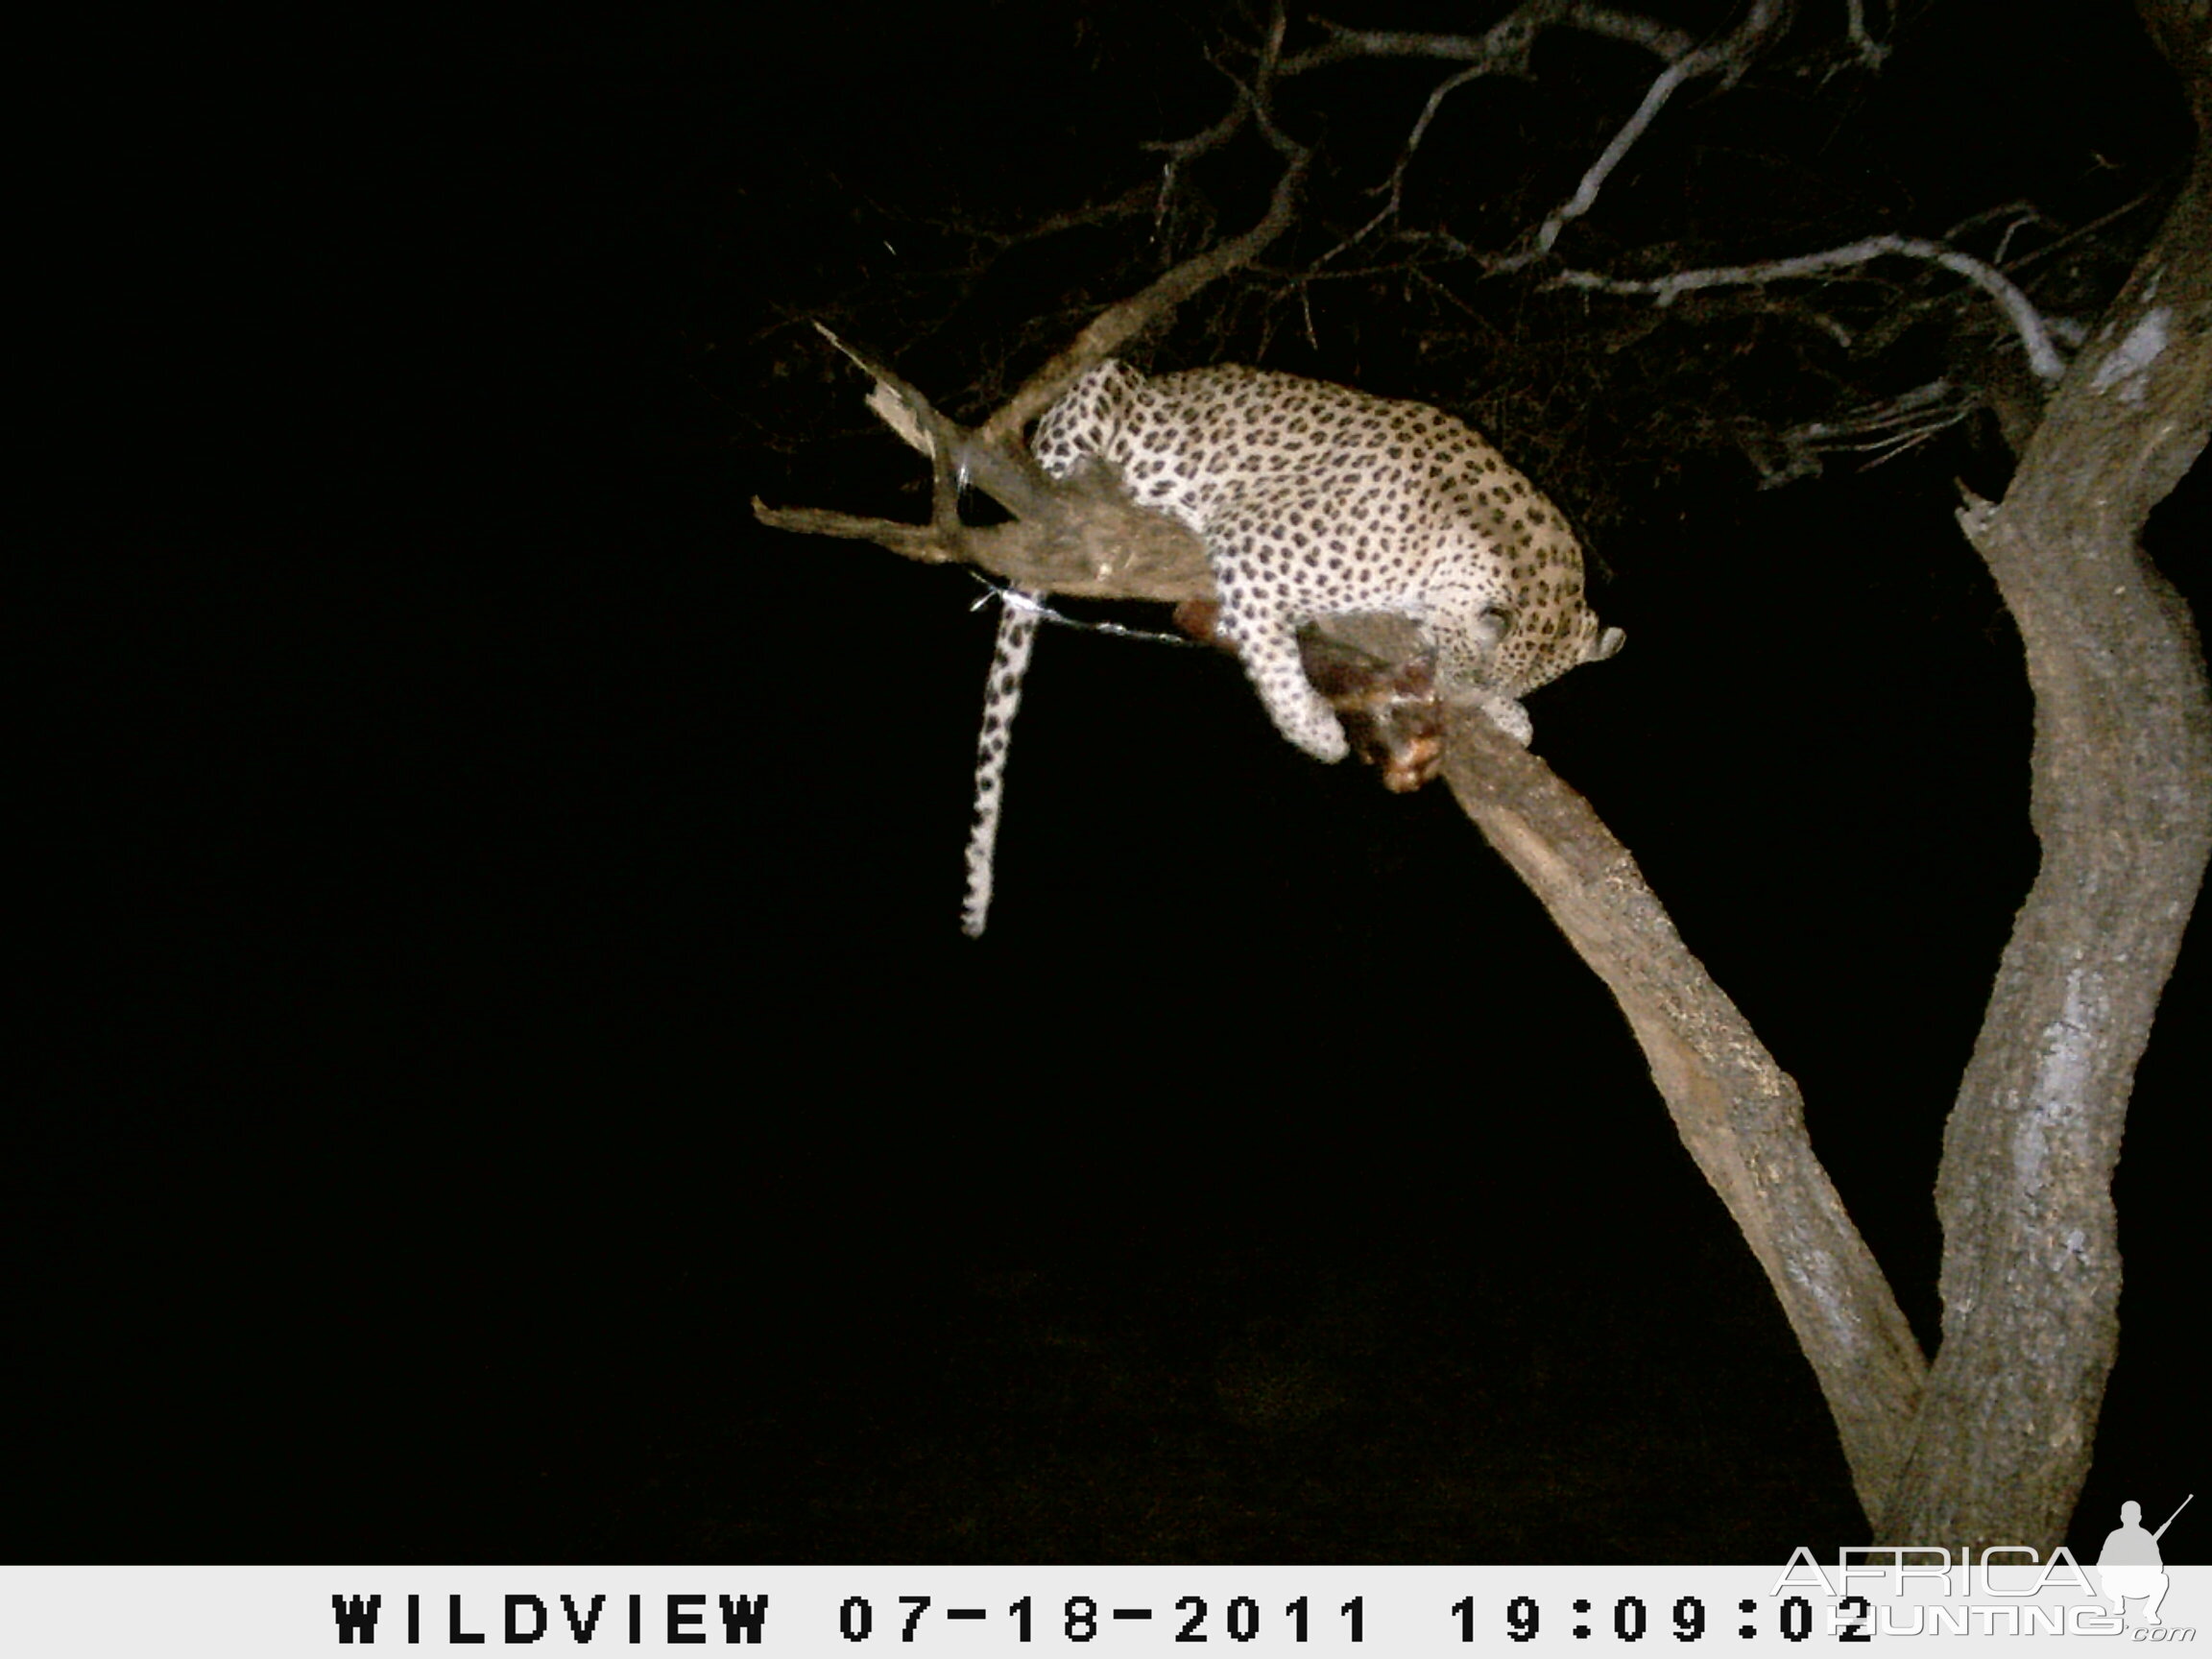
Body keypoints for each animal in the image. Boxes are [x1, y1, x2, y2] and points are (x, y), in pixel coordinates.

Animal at [955, 360, 1627, 937]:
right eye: (1464, 678)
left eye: (1482, 688)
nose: (1459, 706)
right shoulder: (1253, 550)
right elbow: (1274, 658)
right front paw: (1317, 732)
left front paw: (1513, 717)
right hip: (1103, 388)